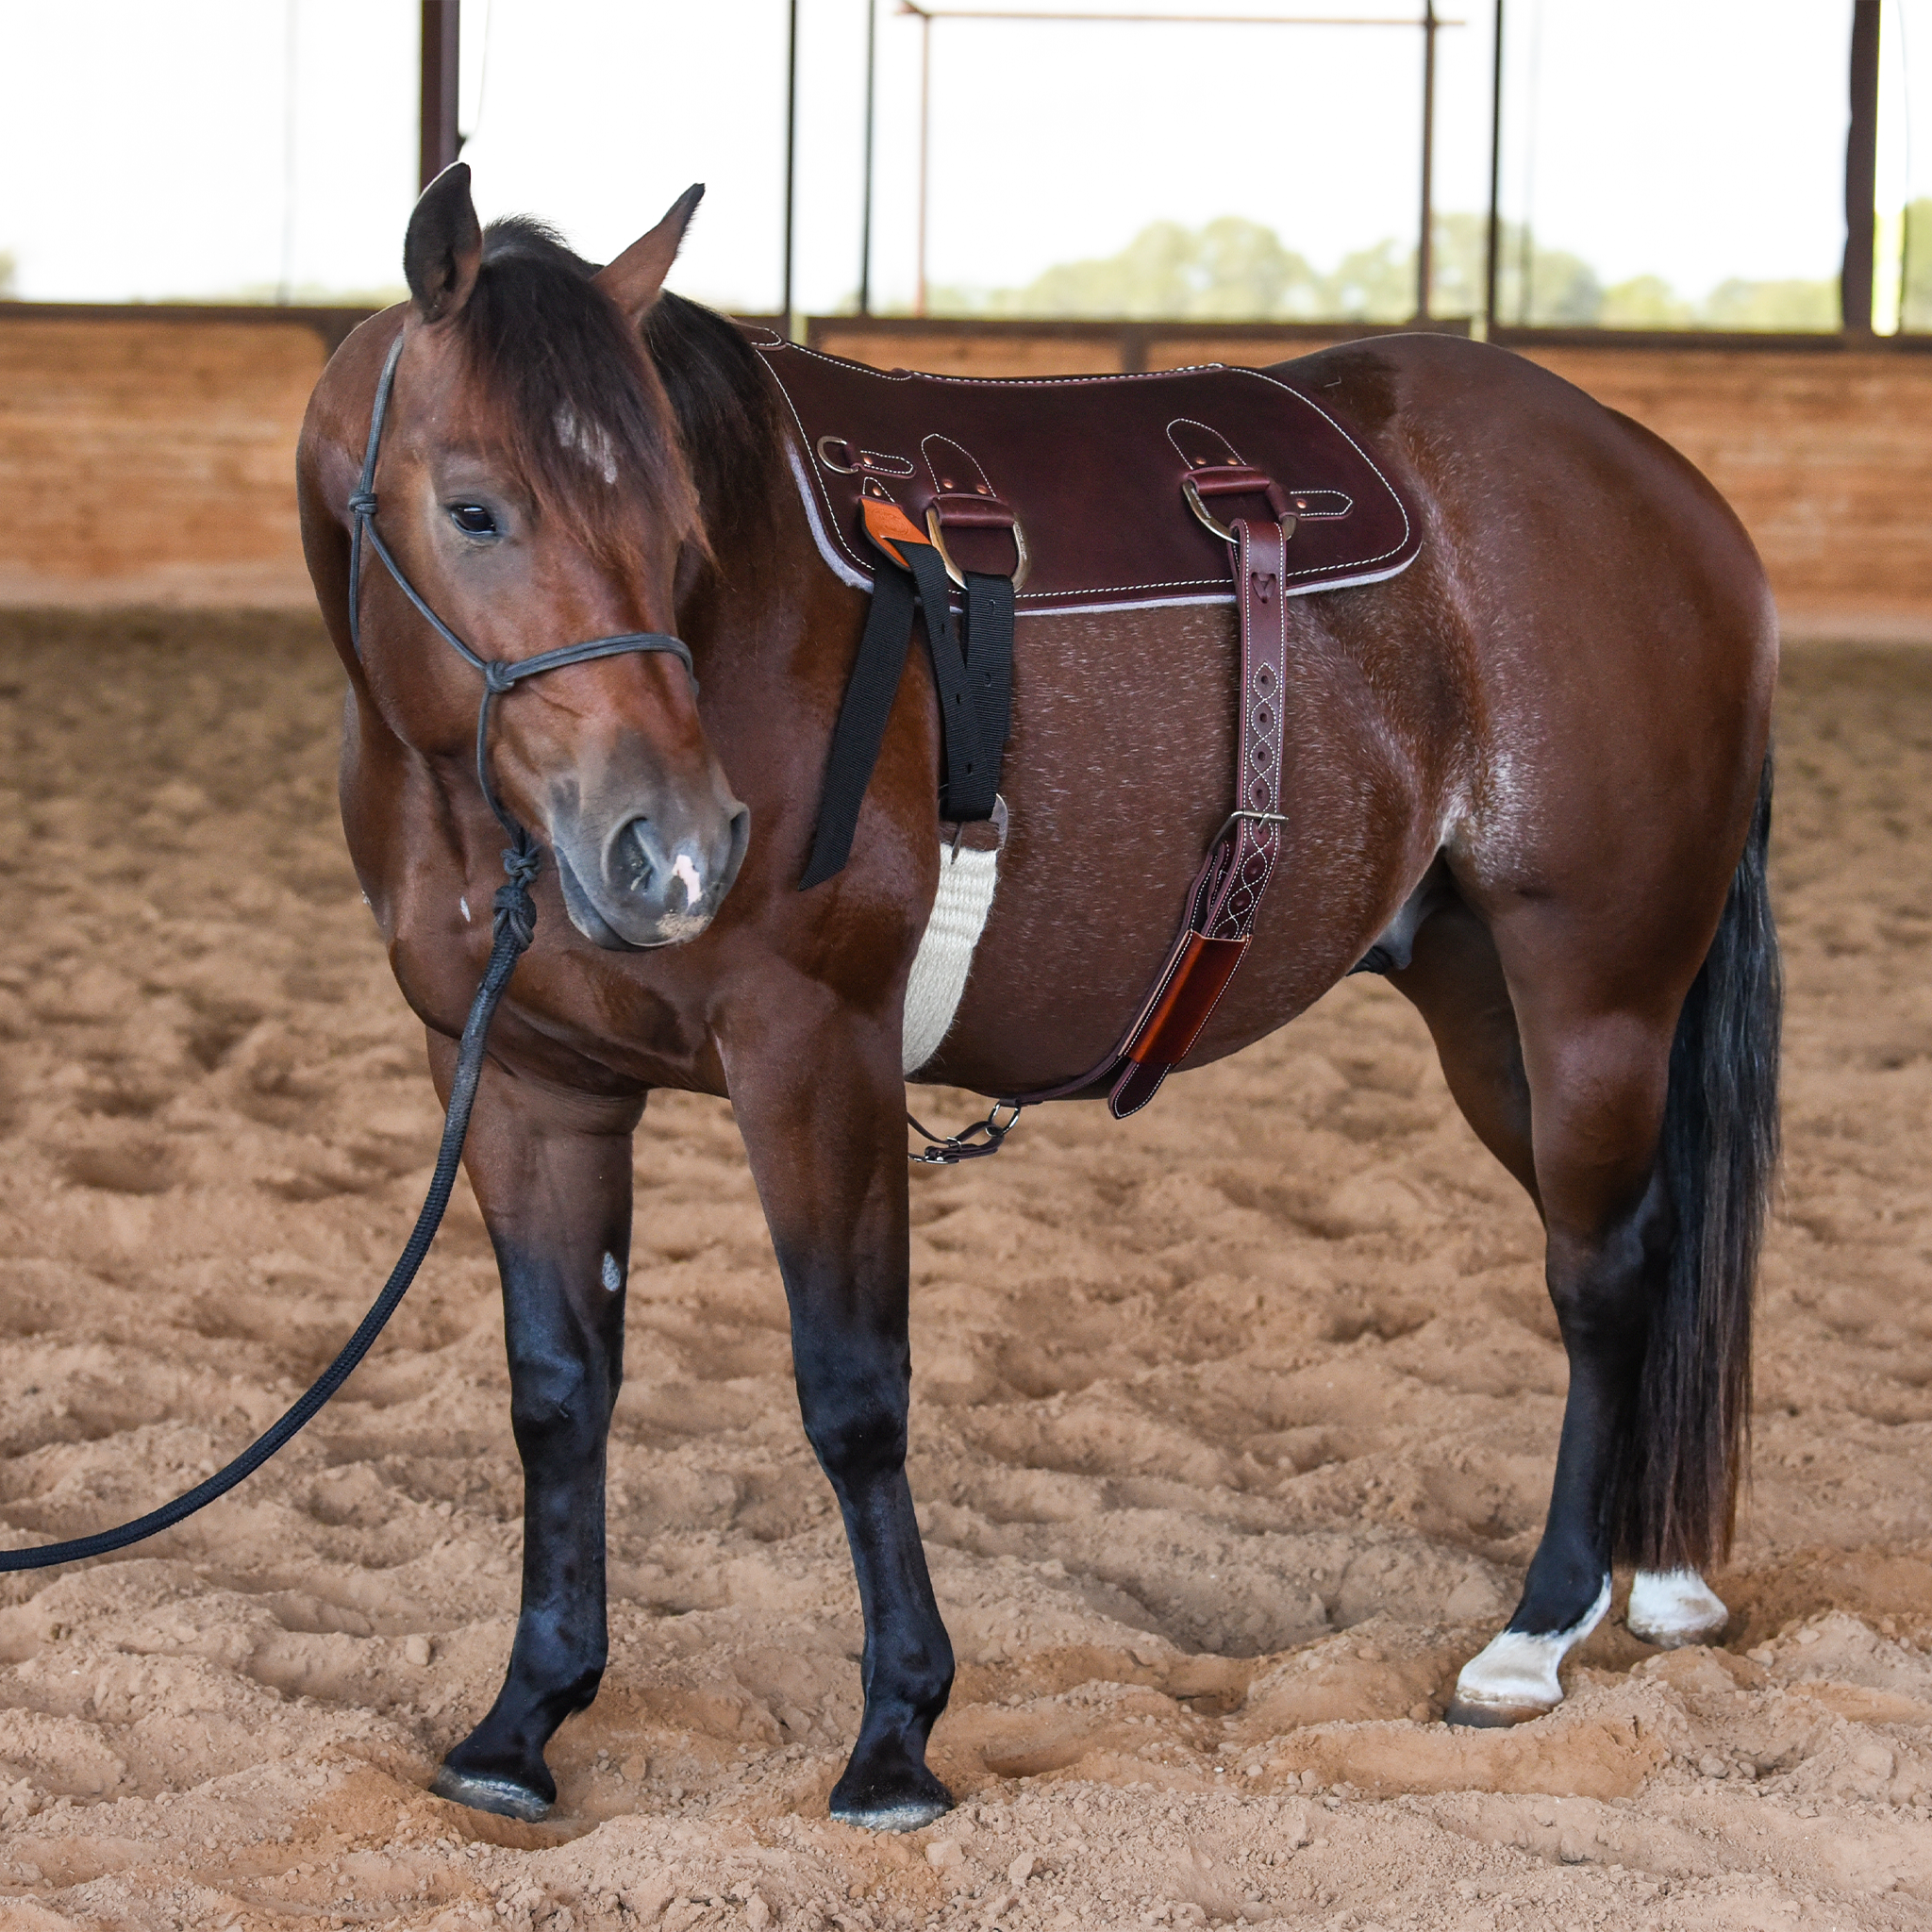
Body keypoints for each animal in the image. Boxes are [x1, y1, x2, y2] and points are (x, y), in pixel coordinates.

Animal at [296, 164, 1780, 1831]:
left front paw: (897, 1732)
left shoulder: (815, 1055)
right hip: (1487, 1011)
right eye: (473, 507)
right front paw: (525, 1717)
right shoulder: (524, 1083)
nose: (670, 848)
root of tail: (1659, 485)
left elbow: (852, 1391)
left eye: (677, 520)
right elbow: (559, 1393)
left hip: (1594, 997)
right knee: (1649, 1250)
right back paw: (1653, 1582)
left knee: (1604, 1275)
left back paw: (1540, 1629)